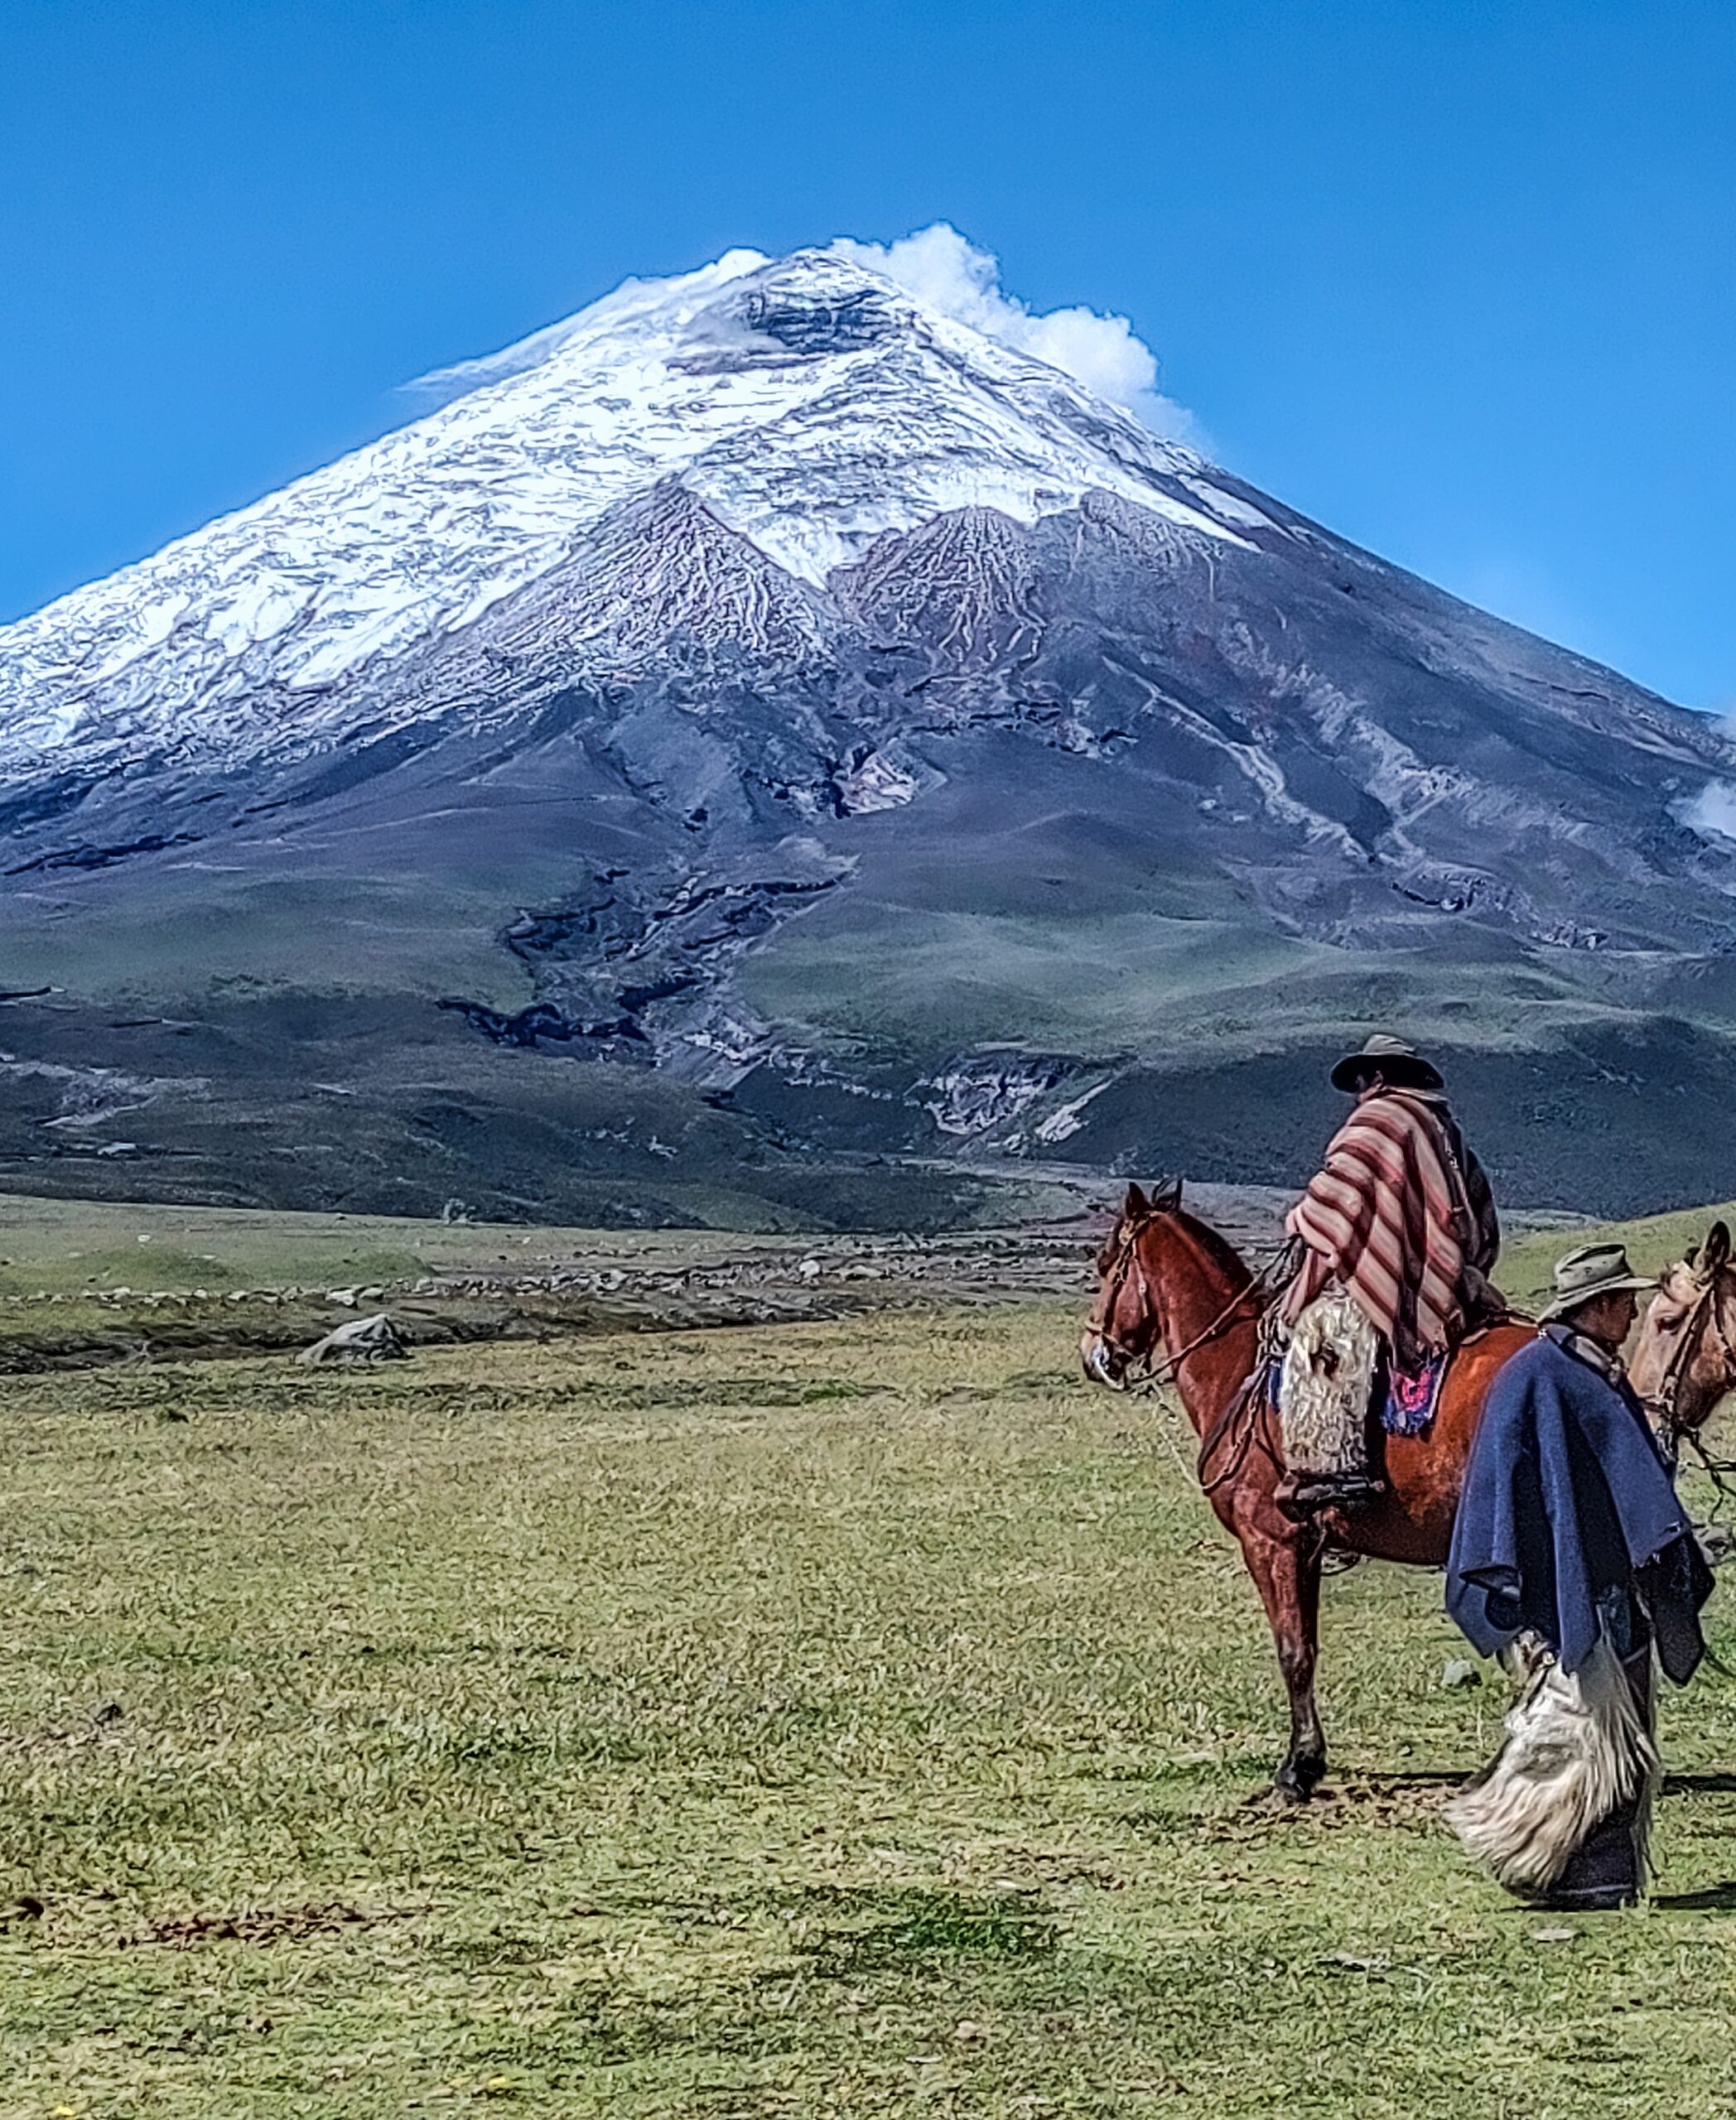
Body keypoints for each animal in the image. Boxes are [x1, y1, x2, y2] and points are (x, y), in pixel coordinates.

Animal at [1085, 1187, 1534, 1797]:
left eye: (1107, 1265)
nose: (1094, 1355)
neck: (1234, 1368)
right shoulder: (1308, 1548)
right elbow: (1310, 1646)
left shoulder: (1270, 1542)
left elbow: (1292, 1651)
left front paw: (1297, 1768)